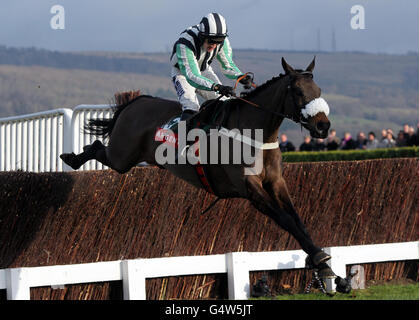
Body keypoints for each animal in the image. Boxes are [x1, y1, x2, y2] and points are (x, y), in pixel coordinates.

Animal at [60, 57, 348, 288]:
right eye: (298, 91)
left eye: (318, 90)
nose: (323, 126)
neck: (255, 133)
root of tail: (136, 101)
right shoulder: (248, 186)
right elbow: (285, 219)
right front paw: (320, 259)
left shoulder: (276, 182)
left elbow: (297, 219)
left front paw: (323, 264)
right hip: (122, 156)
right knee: (97, 148)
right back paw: (71, 158)